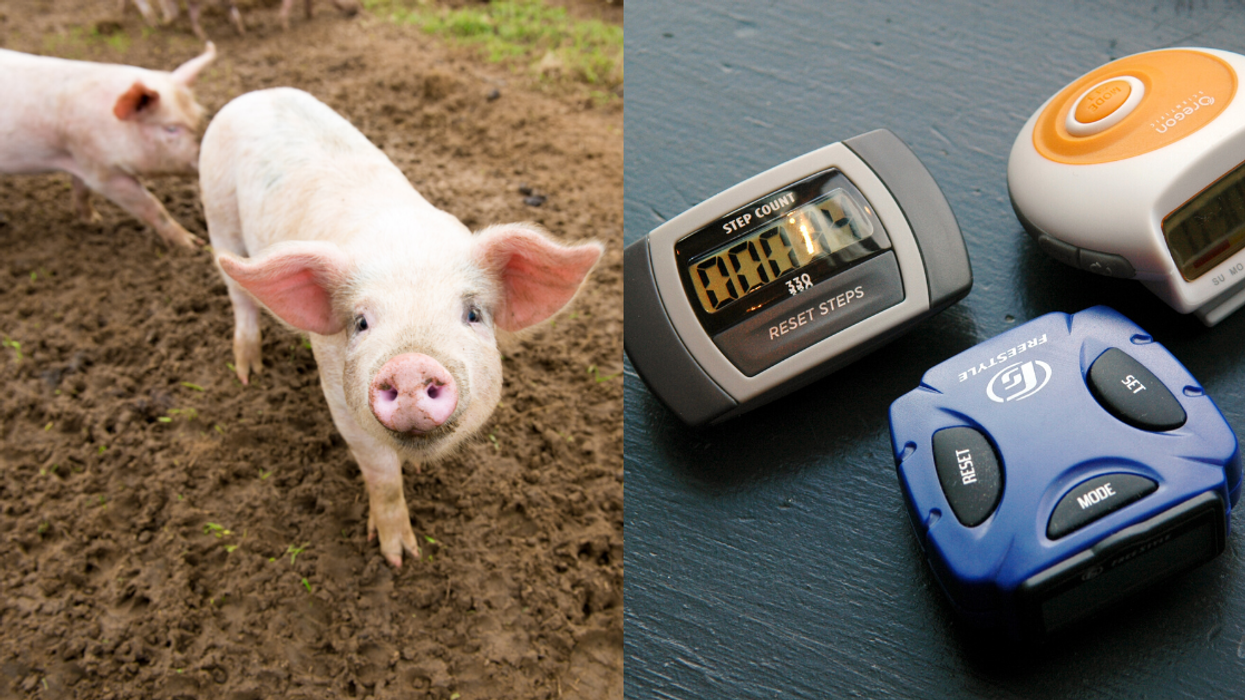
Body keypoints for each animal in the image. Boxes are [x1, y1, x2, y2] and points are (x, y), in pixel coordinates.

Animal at [0, 43, 216, 249]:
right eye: (171, 128)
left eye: (201, 116)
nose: (205, 154)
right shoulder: (102, 171)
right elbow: (151, 205)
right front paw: (192, 244)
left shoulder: (79, 158)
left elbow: (82, 190)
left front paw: (93, 221)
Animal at [199, 88, 602, 566]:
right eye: (360, 322)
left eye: (472, 314)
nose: (409, 366)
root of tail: (257, 94)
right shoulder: (340, 396)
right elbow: (383, 475)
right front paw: (400, 558)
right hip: (217, 210)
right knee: (239, 294)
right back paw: (249, 372)